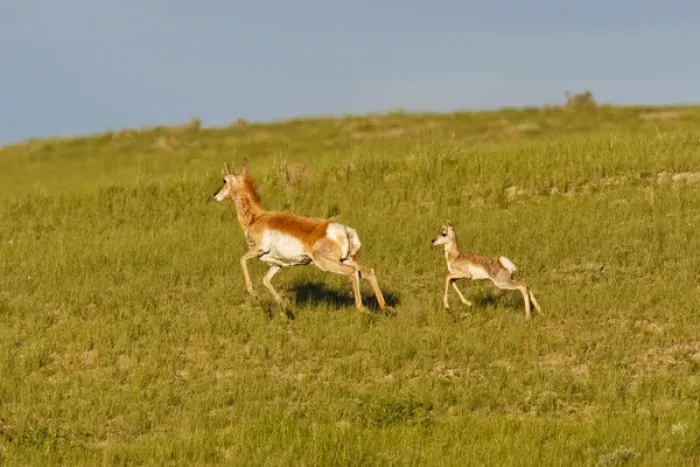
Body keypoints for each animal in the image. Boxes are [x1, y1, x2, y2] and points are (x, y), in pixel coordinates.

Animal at [213, 159, 394, 315]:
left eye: (224, 180)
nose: (215, 195)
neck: (256, 218)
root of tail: (344, 230)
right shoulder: (277, 264)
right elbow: (266, 280)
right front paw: (285, 306)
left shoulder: (258, 250)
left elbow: (242, 260)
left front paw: (254, 293)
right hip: (346, 259)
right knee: (367, 271)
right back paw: (386, 307)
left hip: (327, 263)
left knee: (352, 272)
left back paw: (362, 308)